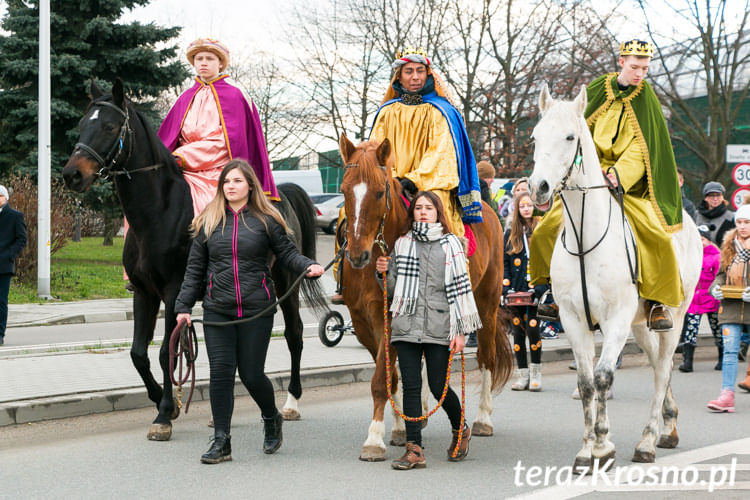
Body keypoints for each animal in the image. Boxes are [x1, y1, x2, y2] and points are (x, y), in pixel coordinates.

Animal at [338, 134, 516, 460]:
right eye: (344, 190)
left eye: (380, 192)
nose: (357, 255)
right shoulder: (362, 322)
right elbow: (393, 376)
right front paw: (398, 428)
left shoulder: (389, 317)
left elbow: (381, 381)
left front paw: (374, 440)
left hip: (486, 305)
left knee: (486, 357)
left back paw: (483, 419)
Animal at [528, 85, 704, 468]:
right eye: (534, 136)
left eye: (570, 137)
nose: (538, 188)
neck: (585, 236)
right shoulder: (573, 319)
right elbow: (585, 382)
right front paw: (586, 450)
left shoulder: (616, 319)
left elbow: (604, 376)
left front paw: (603, 444)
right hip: (642, 326)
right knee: (656, 365)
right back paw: (668, 426)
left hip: (674, 316)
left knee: (663, 368)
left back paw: (648, 440)